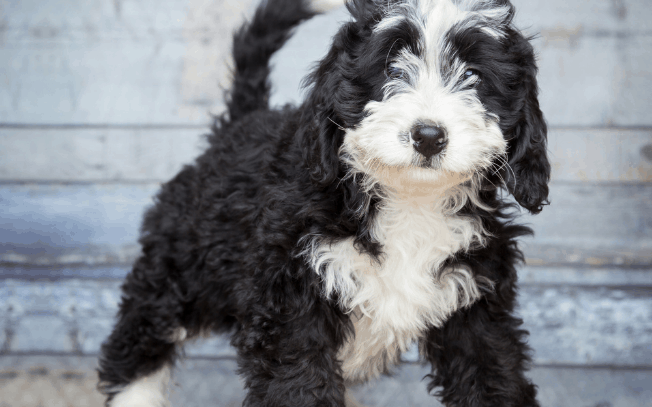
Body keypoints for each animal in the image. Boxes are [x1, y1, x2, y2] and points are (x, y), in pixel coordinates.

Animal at [99, 0, 552, 407]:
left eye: (473, 75)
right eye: (392, 69)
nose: (428, 135)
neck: (409, 200)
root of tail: (241, 122)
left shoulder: (477, 301)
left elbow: (492, 375)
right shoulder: (291, 297)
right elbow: (298, 383)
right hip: (186, 262)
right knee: (141, 331)